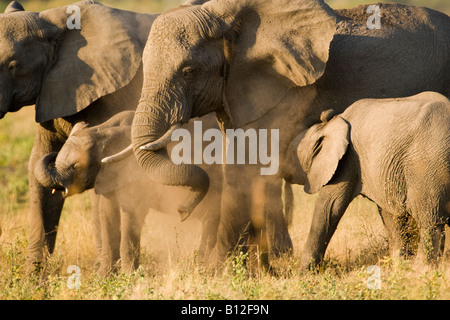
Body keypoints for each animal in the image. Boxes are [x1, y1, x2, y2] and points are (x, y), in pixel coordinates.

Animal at [33, 110, 221, 276]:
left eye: (76, 166)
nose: (181, 211)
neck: (103, 130)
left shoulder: (136, 174)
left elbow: (131, 215)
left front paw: (130, 277)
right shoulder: (108, 175)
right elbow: (107, 214)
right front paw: (103, 278)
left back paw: (202, 269)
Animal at [286, 91, 448, 268]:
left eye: (291, 155)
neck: (333, 121)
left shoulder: (348, 158)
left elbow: (330, 205)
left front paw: (303, 272)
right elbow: (390, 214)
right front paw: (400, 266)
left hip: (426, 166)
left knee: (431, 221)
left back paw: (422, 269)